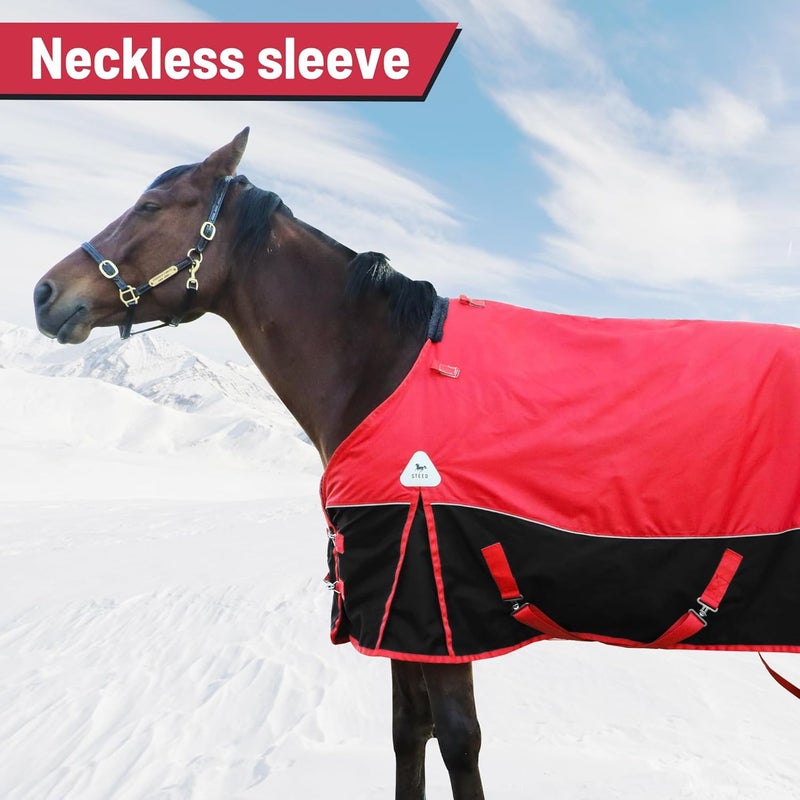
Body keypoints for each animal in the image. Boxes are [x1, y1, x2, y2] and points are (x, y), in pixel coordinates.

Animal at [33, 129, 800, 798]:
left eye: (151, 206)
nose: (44, 293)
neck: (380, 367)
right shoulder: (397, 613)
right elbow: (409, 734)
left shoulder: (433, 600)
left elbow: (457, 740)